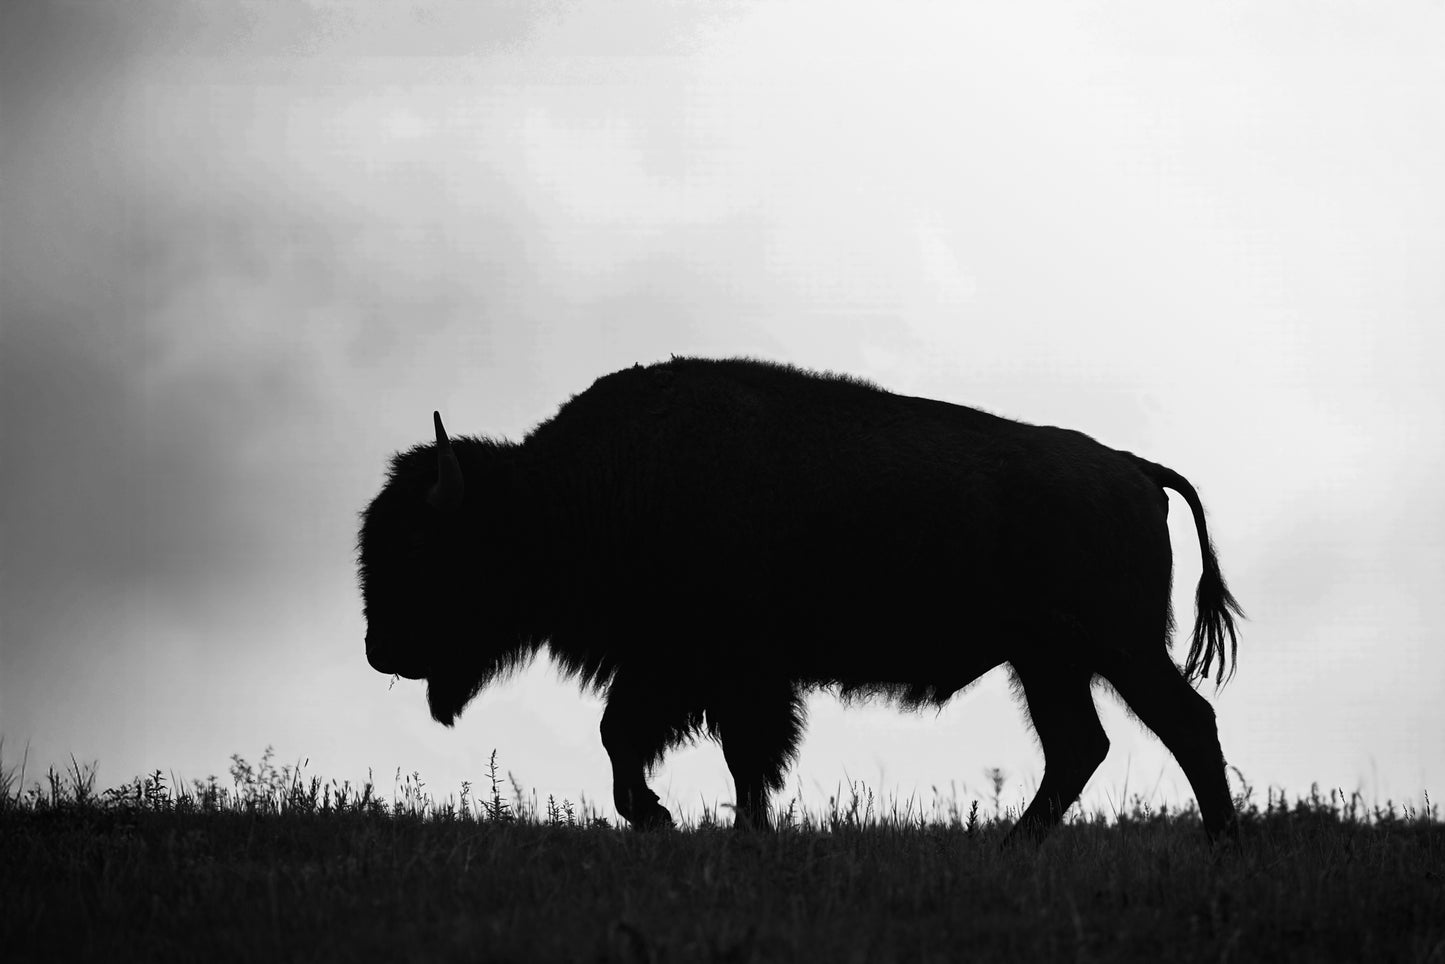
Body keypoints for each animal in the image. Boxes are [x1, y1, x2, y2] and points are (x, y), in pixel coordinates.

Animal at [358, 357, 1242, 841]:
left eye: (423, 548)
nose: (379, 649)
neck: (574, 493)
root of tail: (1130, 468)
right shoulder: (670, 667)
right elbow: (625, 737)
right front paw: (661, 817)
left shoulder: (731, 669)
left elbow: (740, 753)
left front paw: (718, 827)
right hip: (1048, 661)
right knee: (1078, 746)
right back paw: (1007, 848)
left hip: (1116, 647)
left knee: (1183, 723)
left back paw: (1220, 846)